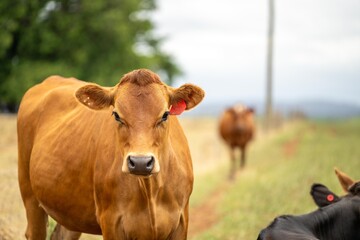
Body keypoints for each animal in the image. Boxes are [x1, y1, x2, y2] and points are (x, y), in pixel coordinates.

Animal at [16, 68, 205, 239]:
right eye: (116, 115)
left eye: (165, 114)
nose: (141, 162)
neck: (150, 190)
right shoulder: (111, 222)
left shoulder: (181, 222)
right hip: (30, 197)